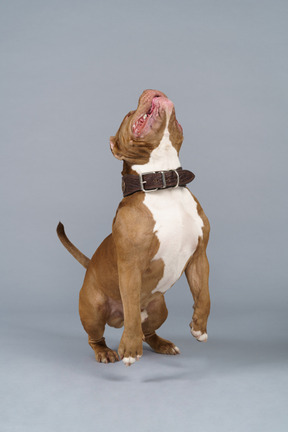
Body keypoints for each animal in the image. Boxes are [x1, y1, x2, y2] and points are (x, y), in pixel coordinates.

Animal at [56, 89, 209, 366]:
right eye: (128, 114)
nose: (152, 90)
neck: (163, 181)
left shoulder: (200, 257)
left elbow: (204, 295)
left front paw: (199, 327)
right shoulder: (130, 266)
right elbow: (130, 308)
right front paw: (129, 348)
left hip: (159, 307)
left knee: (147, 330)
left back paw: (162, 344)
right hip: (93, 310)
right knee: (99, 335)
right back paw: (106, 351)